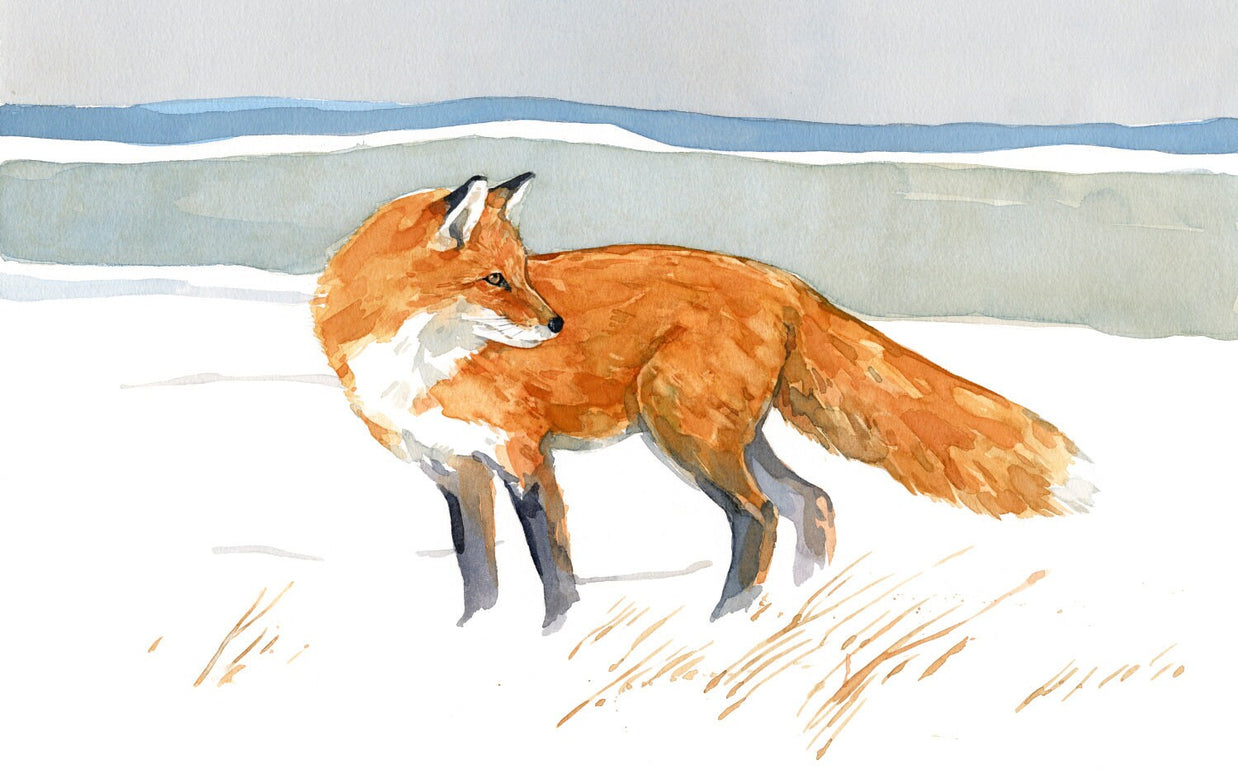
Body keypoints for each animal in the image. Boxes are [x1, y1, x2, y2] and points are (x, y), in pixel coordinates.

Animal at [312, 173, 1093, 628]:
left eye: (524, 271)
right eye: (496, 279)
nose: (557, 324)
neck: (418, 360)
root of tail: (783, 279)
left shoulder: (525, 457)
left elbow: (554, 570)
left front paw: (556, 638)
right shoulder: (455, 471)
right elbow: (478, 572)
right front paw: (474, 640)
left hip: (686, 435)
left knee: (761, 515)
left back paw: (726, 621)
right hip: (727, 436)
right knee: (813, 500)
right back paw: (798, 603)